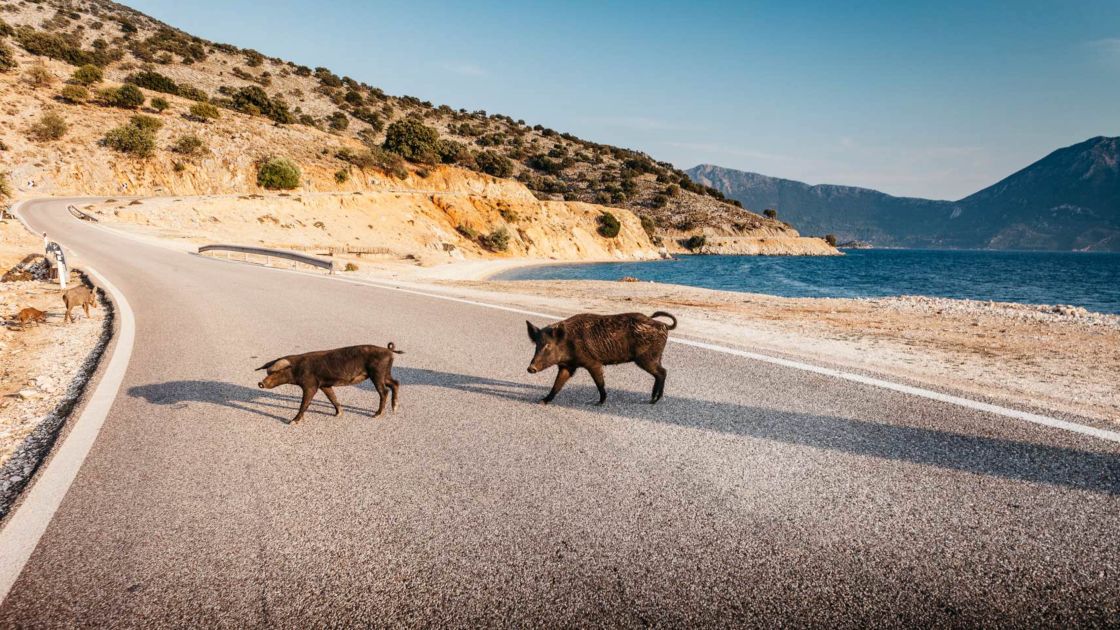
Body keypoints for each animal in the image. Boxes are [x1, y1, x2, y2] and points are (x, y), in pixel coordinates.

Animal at [256, 343, 403, 424]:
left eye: (276, 372)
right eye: (267, 372)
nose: (260, 383)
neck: (297, 369)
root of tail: (388, 351)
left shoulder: (310, 385)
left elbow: (304, 404)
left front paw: (292, 422)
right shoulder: (324, 385)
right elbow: (332, 397)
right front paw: (338, 414)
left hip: (377, 373)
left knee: (384, 391)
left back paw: (376, 415)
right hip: (385, 373)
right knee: (395, 383)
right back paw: (395, 408)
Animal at [526, 311, 677, 405]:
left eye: (548, 345)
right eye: (536, 345)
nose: (530, 368)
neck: (568, 343)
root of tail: (663, 325)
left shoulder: (593, 362)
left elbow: (599, 382)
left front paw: (598, 403)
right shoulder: (567, 366)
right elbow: (557, 384)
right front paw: (542, 401)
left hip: (646, 358)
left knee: (662, 372)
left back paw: (654, 401)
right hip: (656, 357)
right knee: (660, 373)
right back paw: (652, 399)